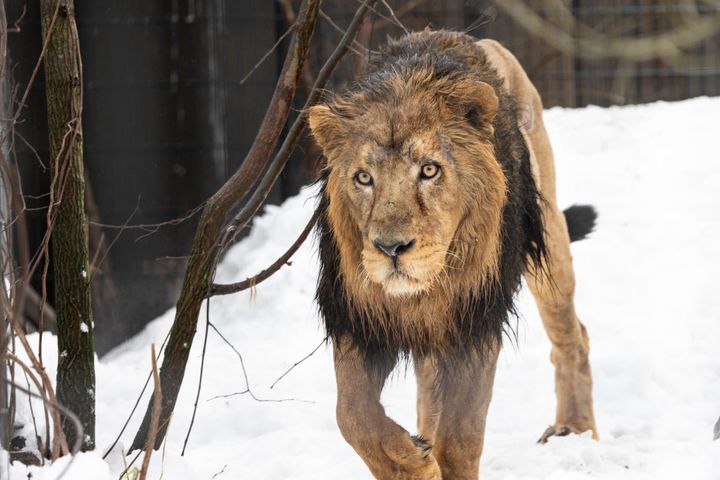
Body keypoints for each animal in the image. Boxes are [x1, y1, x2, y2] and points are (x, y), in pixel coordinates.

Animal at [310, 31, 596, 480]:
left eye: (429, 170)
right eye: (363, 178)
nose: (391, 248)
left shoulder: (474, 322)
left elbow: (461, 436)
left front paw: (434, 461)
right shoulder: (357, 318)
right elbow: (354, 416)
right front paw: (414, 462)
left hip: (548, 244)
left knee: (572, 337)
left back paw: (575, 431)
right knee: (429, 389)